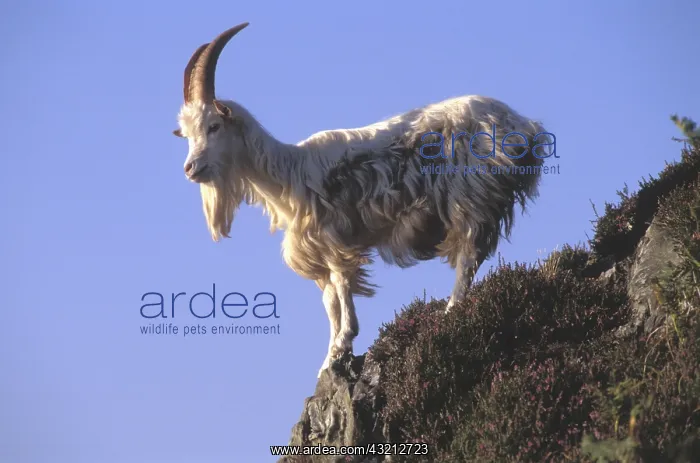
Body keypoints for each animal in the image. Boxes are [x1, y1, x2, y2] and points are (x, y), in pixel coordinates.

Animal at [172, 23, 554, 378]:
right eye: (187, 134)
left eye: (214, 126)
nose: (190, 168)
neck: (288, 176)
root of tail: (525, 126)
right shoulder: (319, 254)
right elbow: (330, 301)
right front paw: (328, 360)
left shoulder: (335, 240)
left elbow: (343, 289)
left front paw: (343, 345)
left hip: (470, 195)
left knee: (469, 255)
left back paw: (450, 312)